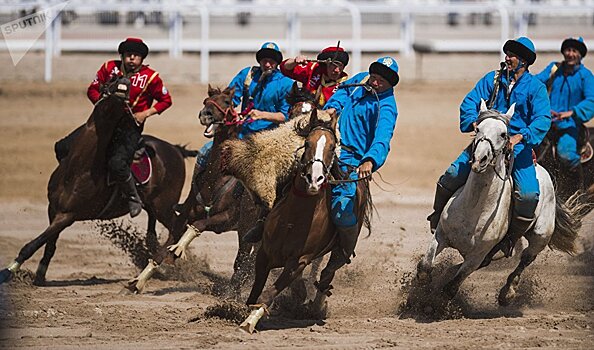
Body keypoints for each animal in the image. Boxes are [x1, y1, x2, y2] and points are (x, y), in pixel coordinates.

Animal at [0, 76, 191, 288]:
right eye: (111, 79)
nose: (124, 81)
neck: (78, 168)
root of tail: (175, 149)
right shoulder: (53, 209)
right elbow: (49, 244)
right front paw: (40, 276)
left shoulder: (67, 215)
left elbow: (33, 244)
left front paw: (7, 272)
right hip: (153, 206)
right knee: (154, 231)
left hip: (164, 206)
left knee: (178, 228)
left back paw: (162, 262)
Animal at [123, 85, 260, 296]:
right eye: (206, 101)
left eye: (227, 102)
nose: (206, 114)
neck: (216, 181)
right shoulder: (183, 217)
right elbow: (161, 250)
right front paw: (138, 281)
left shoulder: (226, 219)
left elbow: (199, 225)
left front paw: (177, 250)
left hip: (247, 229)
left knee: (244, 261)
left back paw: (233, 291)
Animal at [237, 108, 370, 334]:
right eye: (307, 143)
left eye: (332, 147)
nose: (314, 179)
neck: (293, 219)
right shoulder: (264, 253)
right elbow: (256, 291)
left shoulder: (299, 262)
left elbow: (268, 294)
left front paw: (249, 322)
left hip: (340, 251)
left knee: (326, 275)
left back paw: (316, 307)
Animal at [414, 100, 584, 308]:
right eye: (477, 129)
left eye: (504, 134)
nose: (480, 159)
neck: (474, 208)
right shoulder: (441, 235)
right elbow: (425, 267)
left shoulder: (476, 256)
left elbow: (451, 287)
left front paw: (434, 303)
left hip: (540, 236)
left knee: (526, 259)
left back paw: (507, 293)